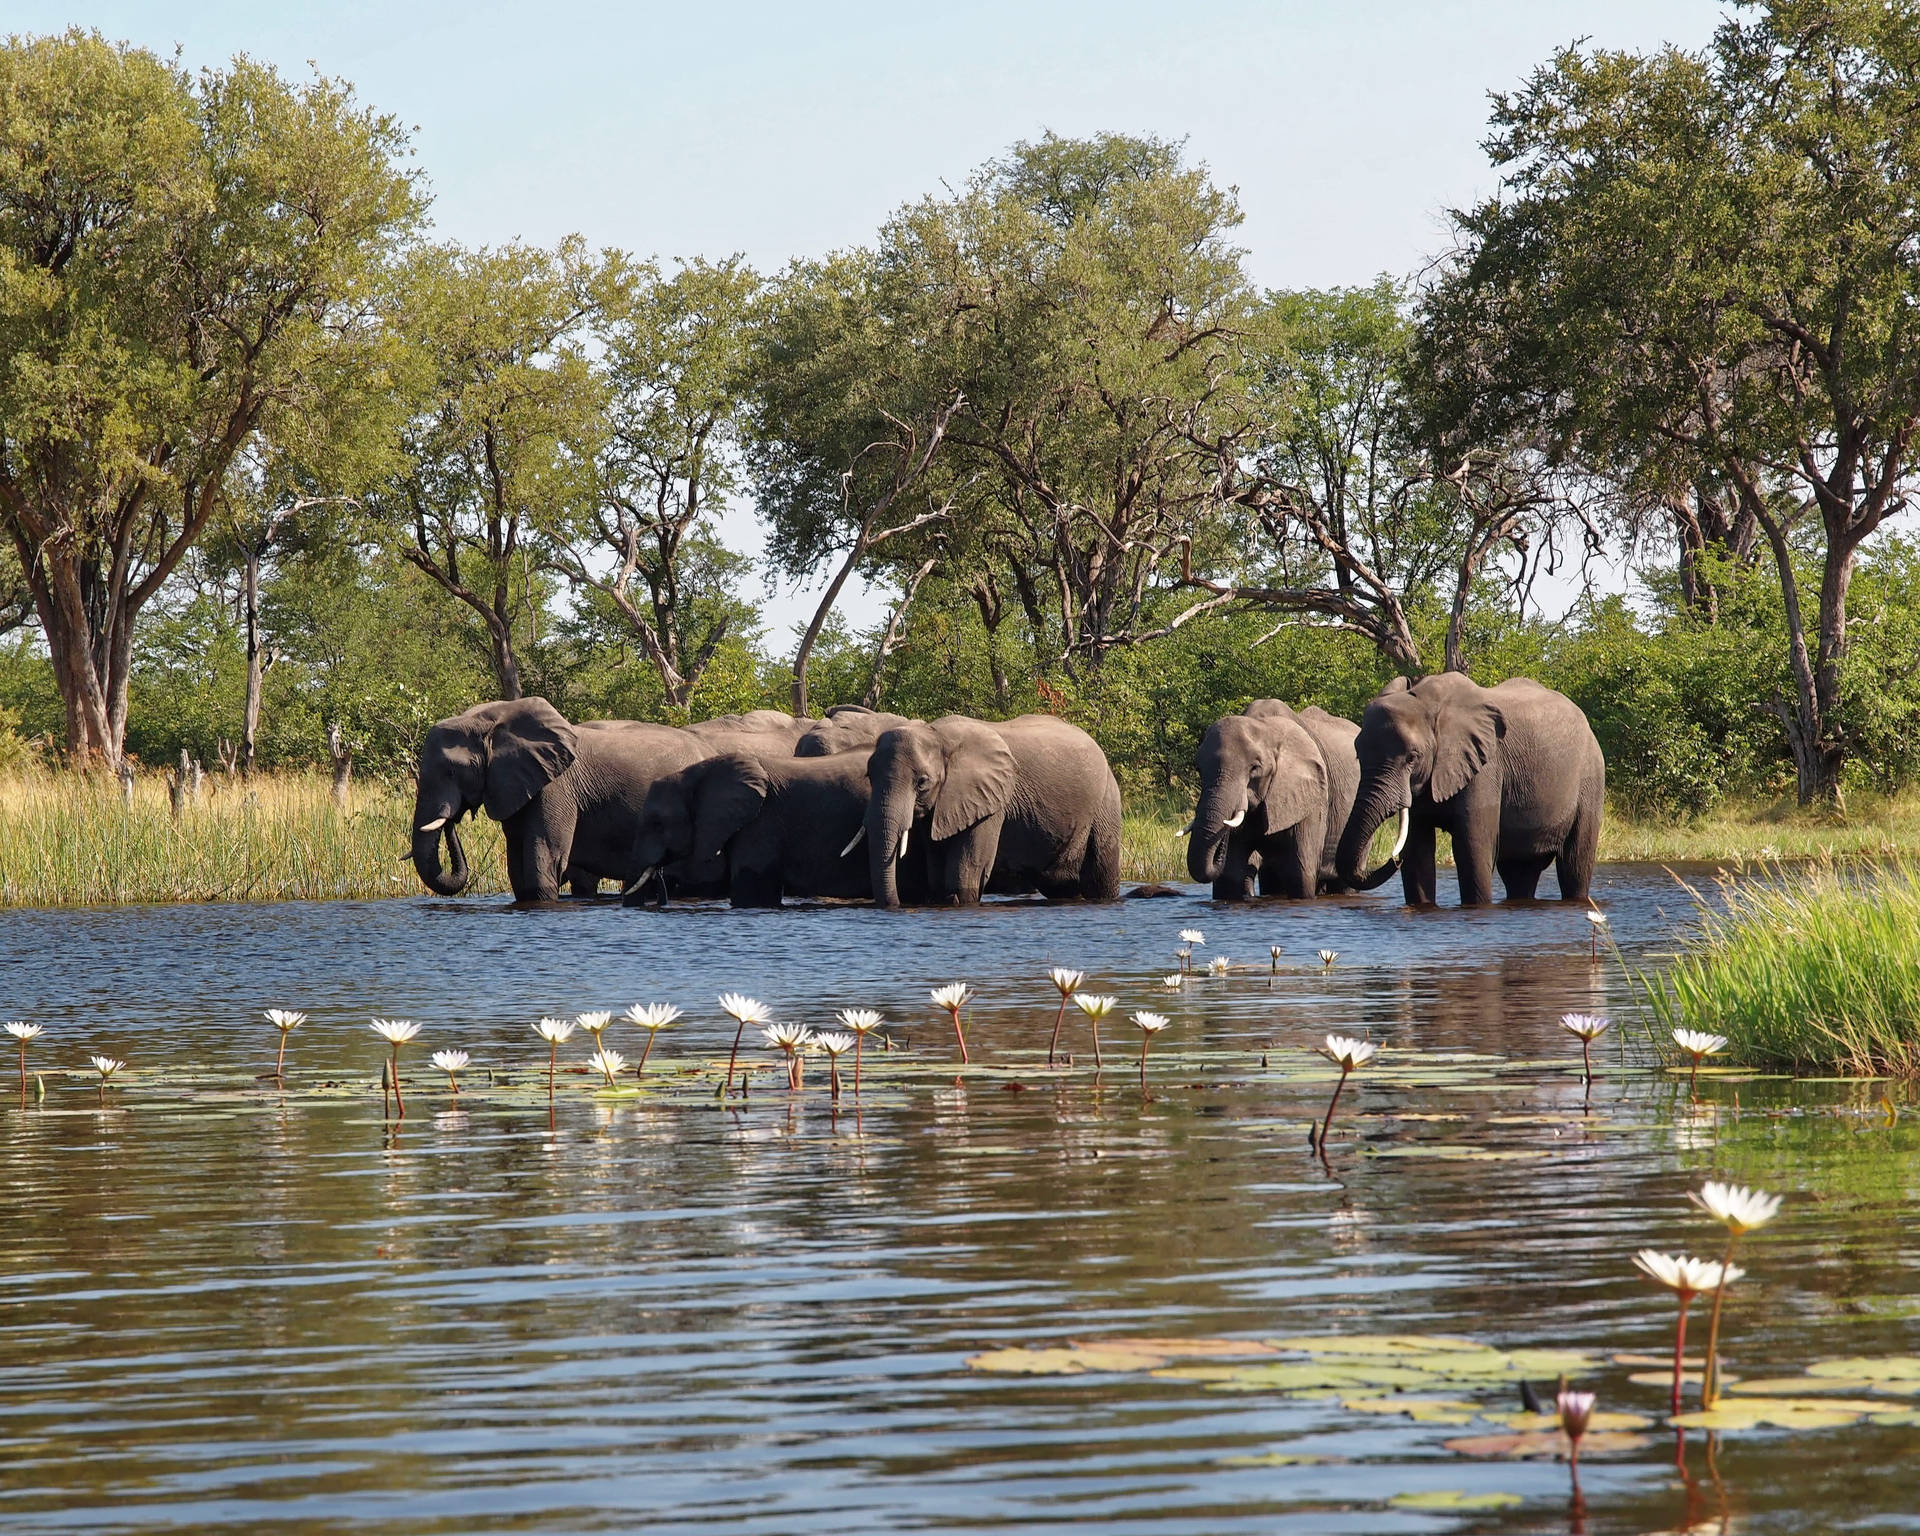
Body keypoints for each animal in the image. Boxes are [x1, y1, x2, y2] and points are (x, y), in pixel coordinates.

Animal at [408, 695, 710, 898]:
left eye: (451, 771)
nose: (453, 817)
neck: (493, 718)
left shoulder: (556, 788)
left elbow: (544, 857)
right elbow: (517, 864)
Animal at [860, 714, 1121, 906]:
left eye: (922, 782)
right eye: (869, 776)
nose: (897, 905)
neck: (937, 735)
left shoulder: (991, 802)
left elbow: (966, 870)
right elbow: (937, 867)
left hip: (1106, 802)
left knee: (1100, 877)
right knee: (1060, 885)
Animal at [1336, 668, 1605, 898]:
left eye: (1412, 757)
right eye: (1358, 755)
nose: (1393, 859)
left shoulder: (1486, 768)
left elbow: (1472, 849)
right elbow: (1417, 854)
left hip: (1591, 777)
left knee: (1575, 865)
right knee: (1519, 873)